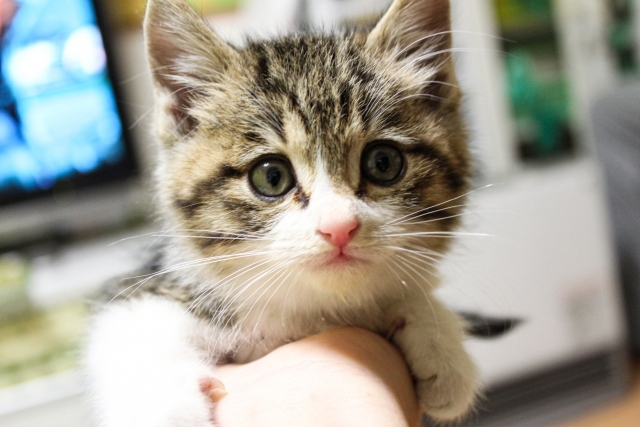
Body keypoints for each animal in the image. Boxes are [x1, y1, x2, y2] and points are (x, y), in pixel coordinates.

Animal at [87, 0, 480, 424]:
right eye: (271, 177)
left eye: (383, 163)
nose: (339, 227)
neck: (310, 312)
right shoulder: (148, 284)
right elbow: (133, 324)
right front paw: (169, 413)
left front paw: (438, 338)